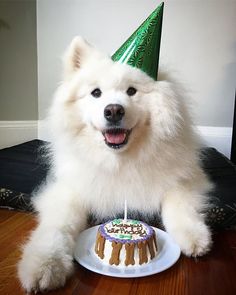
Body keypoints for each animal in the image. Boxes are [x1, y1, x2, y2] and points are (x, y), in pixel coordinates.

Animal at [18, 35, 212, 292]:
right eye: (96, 92)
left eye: (131, 91)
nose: (113, 110)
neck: (119, 161)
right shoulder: (70, 189)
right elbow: (57, 225)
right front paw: (45, 263)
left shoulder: (186, 179)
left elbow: (180, 205)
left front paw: (194, 236)